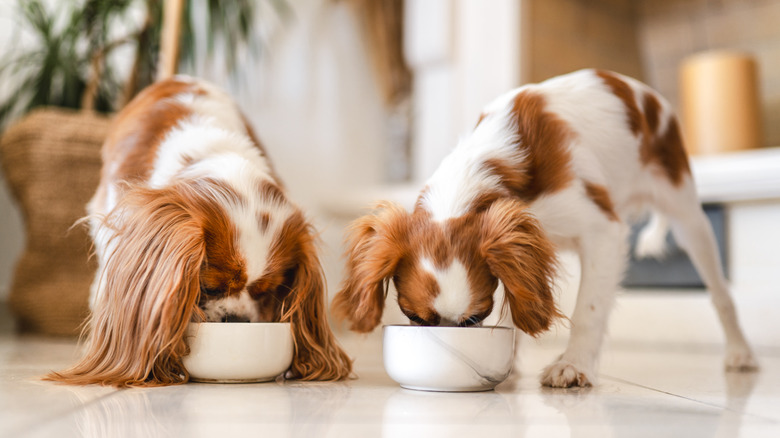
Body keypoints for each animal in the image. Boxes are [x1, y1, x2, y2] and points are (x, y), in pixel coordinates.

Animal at [334, 68, 756, 386]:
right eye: (416, 319)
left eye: (476, 319)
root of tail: (650, 97)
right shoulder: (522, 245)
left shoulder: (602, 231)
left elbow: (588, 310)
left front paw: (573, 366)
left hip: (687, 216)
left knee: (721, 295)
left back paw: (740, 352)